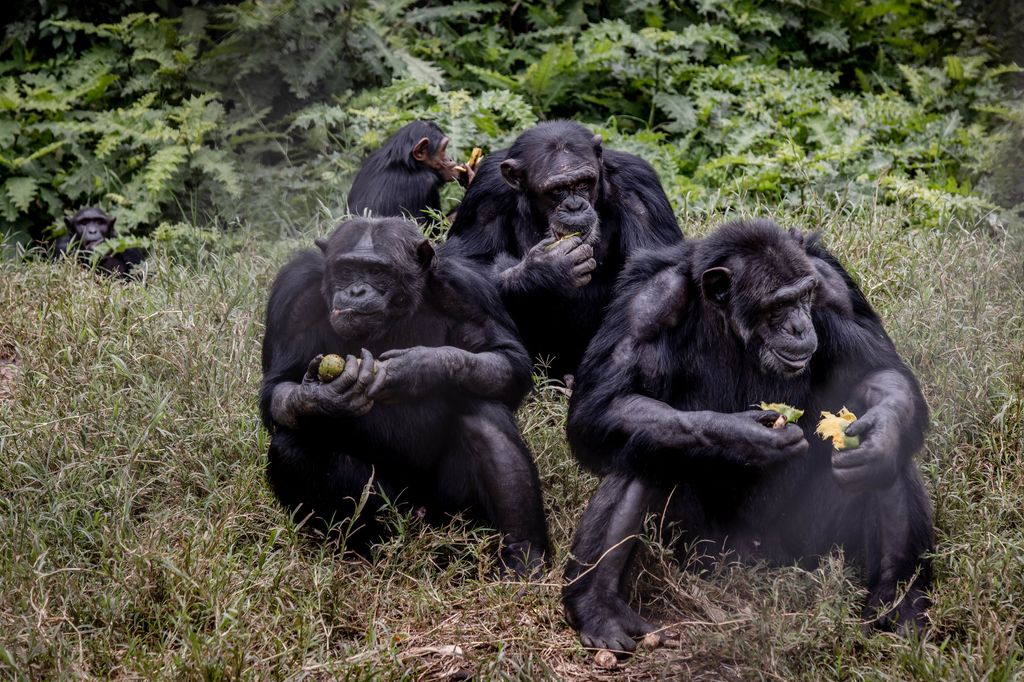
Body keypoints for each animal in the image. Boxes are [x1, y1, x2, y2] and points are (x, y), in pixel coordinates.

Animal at [260, 215, 557, 569]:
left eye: (376, 271)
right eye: (347, 269)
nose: (356, 290)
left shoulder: (469, 288)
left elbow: (508, 359)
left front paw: (417, 369)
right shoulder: (294, 295)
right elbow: (278, 385)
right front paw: (324, 398)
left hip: (452, 515)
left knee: (484, 413)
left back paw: (523, 554)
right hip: (393, 509)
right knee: (291, 448)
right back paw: (363, 553)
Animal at [444, 120, 684, 378]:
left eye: (583, 183)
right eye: (556, 190)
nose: (574, 206)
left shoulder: (640, 186)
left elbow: (652, 268)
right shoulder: (485, 189)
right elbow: (465, 260)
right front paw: (546, 270)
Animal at [561, 220, 937, 651]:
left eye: (805, 296)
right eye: (778, 305)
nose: (800, 325)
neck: (728, 322)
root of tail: (754, 563)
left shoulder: (833, 286)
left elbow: (877, 371)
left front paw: (880, 440)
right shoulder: (647, 304)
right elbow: (603, 405)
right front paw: (748, 438)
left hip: (808, 547)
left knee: (888, 460)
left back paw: (899, 602)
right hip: (701, 553)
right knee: (643, 445)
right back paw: (598, 608)